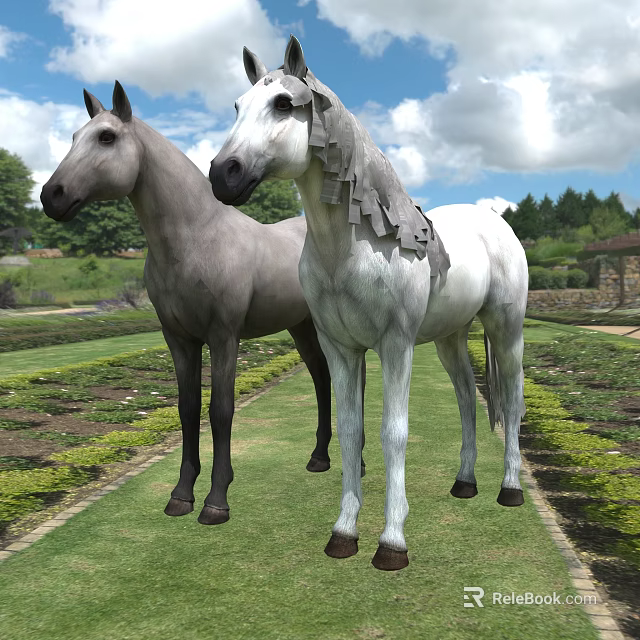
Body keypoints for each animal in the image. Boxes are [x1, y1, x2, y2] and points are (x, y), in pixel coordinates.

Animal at [40, 81, 366, 527]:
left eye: (106, 137)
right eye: (74, 137)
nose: (50, 196)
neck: (196, 238)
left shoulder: (224, 336)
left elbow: (220, 410)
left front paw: (216, 501)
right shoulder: (179, 339)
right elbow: (188, 408)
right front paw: (180, 495)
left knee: (353, 380)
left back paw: (359, 464)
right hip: (300, 326)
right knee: (321, 377)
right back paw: (318, 458)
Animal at [209, 36, 528, 571]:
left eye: (283, 104)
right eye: (236, 106)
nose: (222, 175)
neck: (350, 247)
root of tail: (494, 221)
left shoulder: (395, 345)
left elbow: (392, 434)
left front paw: (392, 543)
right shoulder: (341, 349)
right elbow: (350, 431)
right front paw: (343, 534)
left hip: (507, 331)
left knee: (513, 399)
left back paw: (510, 489)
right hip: (450, 338)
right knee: (467, 398)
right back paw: (464, 483)